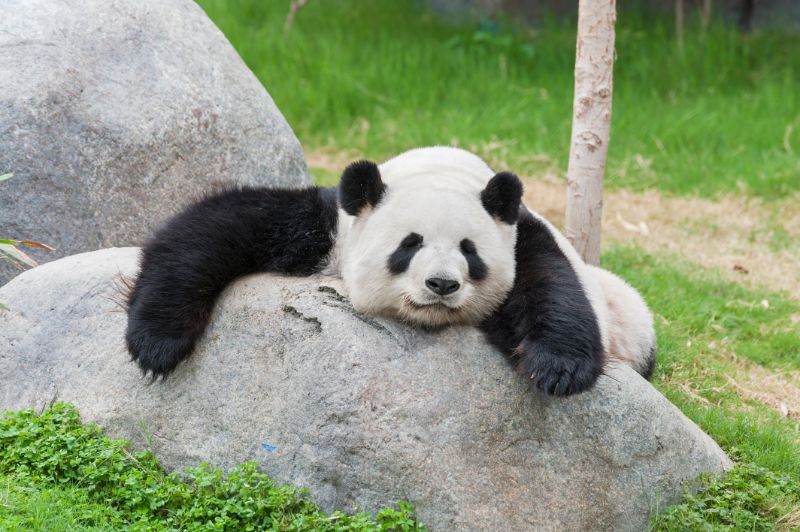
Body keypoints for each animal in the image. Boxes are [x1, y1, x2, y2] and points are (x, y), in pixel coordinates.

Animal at [125, 145, 652, 394]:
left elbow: (552, 284)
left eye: (469, 251)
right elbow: (216, 227)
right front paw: (157, 343)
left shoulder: (522, 232)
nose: (441, 284)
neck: (442, 170)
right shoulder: (329, 225)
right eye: (408, 245)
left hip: (629, 317)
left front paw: (558, 368)